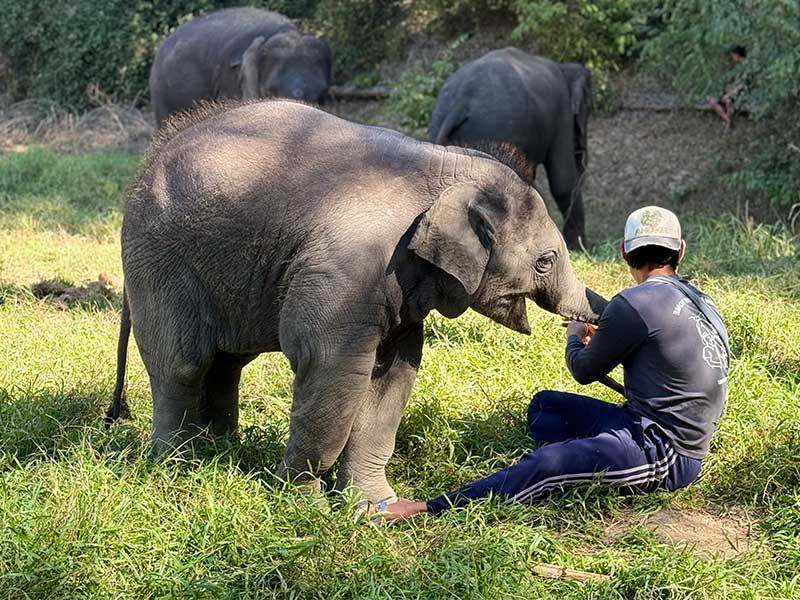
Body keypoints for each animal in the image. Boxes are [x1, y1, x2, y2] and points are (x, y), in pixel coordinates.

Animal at [106, 99, 607, 505]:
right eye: (545, 262)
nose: (588, 326)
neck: (447, 166)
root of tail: (148, 161)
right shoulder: (353, 265)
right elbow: (329, 364)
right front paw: (304, 507)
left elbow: (392, 377)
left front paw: (374, 508)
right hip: (160, 259)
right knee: (183, 362)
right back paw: (177, 467)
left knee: (226, 361)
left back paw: (221, 451)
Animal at [429, 47, 592, 250]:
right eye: (588, 107)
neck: (564, 68)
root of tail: (458, 104)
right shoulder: (561, 113)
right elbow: (563, 181)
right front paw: (579, 247)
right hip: (495, 128)